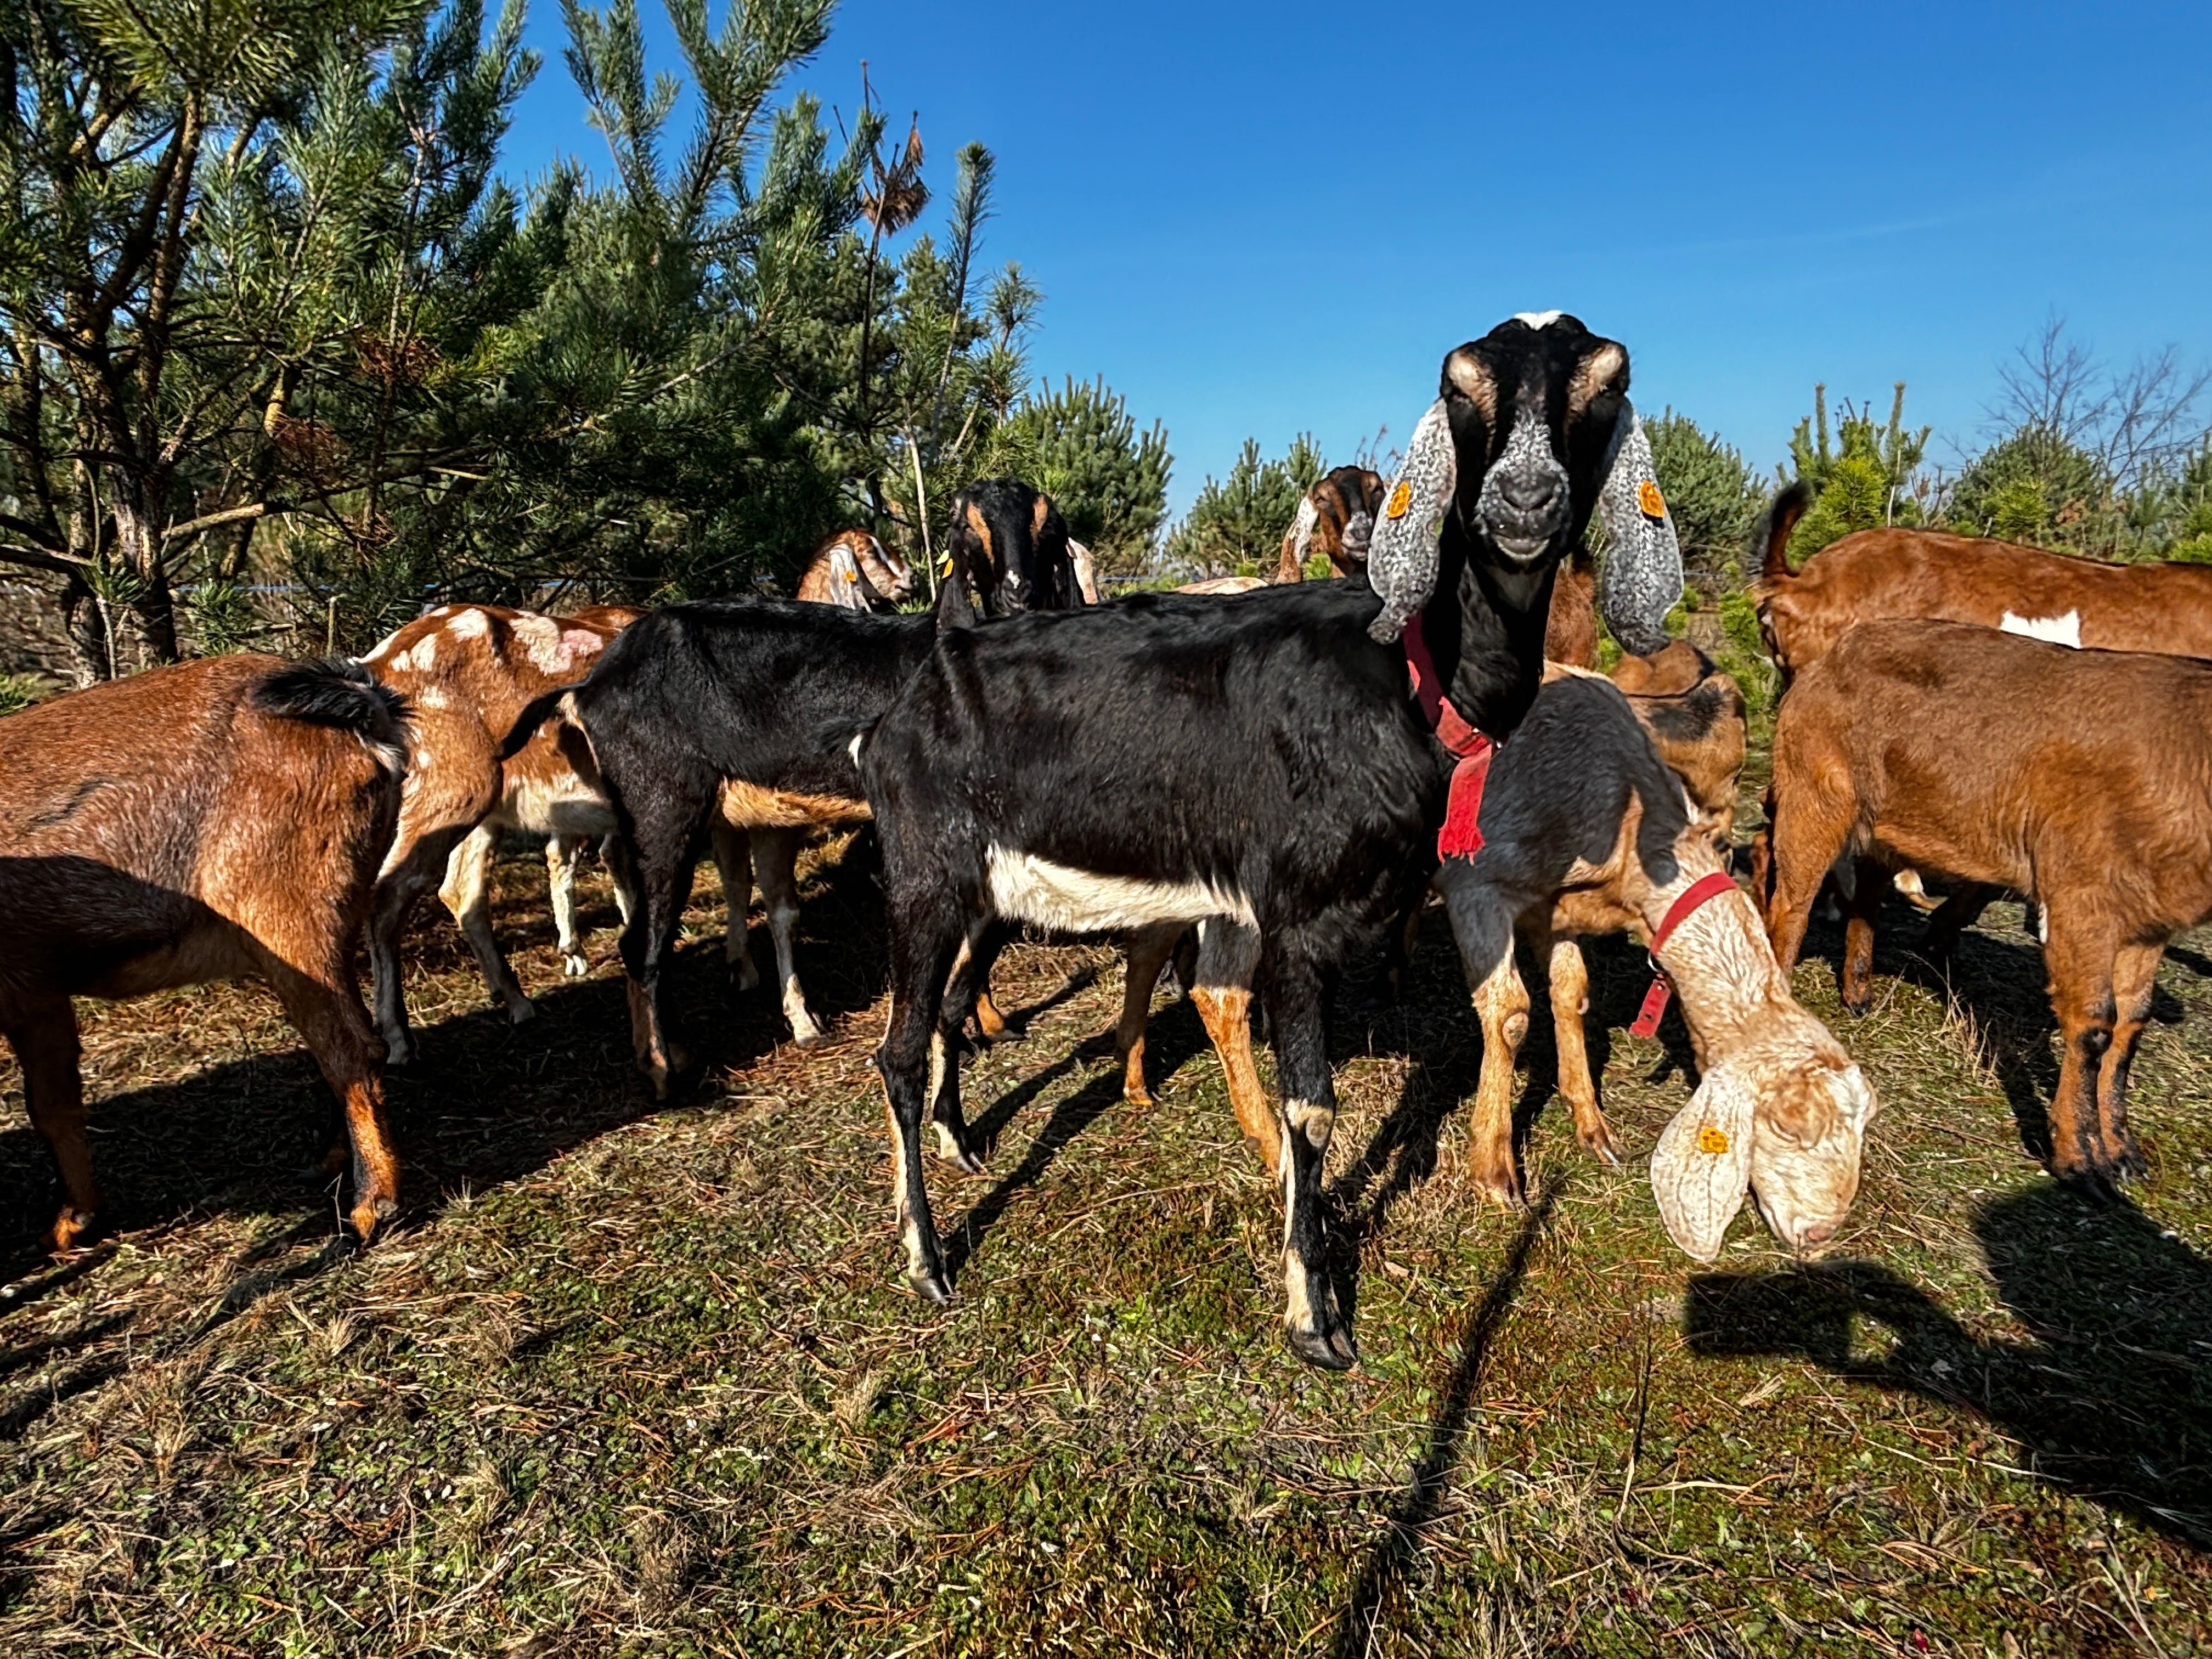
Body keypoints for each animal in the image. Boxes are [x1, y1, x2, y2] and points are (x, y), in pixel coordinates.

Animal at [2, 654, 409, 1256]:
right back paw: (333, 1163)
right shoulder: (37, 992)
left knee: (351, 1051)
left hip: (288, 917)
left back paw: (368, 1208)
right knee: (361, 1041)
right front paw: (73, 1221)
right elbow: (51, 1105)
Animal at [1760, 619, 2212, 1194]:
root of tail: (1832, 657)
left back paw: (1858, 992)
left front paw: (2123, 1152)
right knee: (1790, 905)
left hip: (1884, 817)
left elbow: (2131, 1025)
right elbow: (2094, 1025)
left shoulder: (2147, 923)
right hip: (1815, 791)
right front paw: (2081, 1162)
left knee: (1869, 885)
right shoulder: (2081, 896)